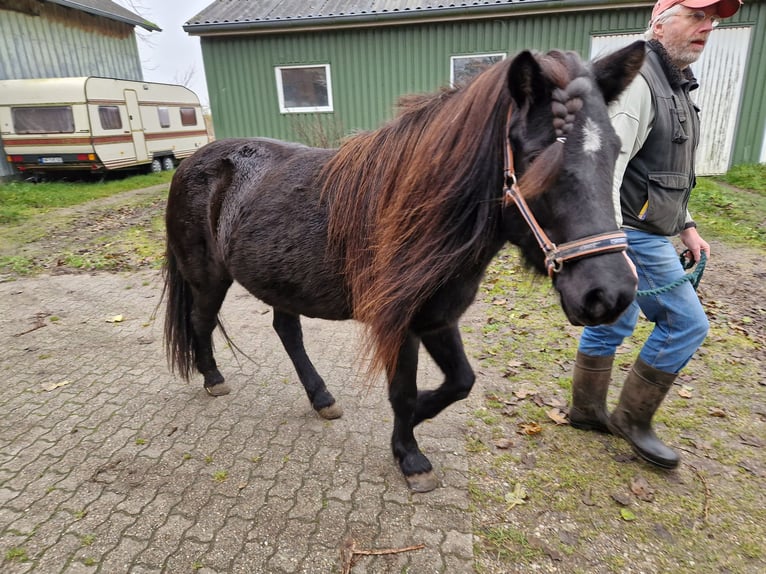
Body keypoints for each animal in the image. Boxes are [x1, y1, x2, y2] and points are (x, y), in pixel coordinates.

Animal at [163, 41, 645, 492]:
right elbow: (404, 390)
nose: (610, 293)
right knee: (201, 321)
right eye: (539, 157)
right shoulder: (401, 322)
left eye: (616, 151)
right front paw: (410, 455)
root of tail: (190, 163)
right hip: (209, 279)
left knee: (287, 332)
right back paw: (213, 378)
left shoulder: (437, 318)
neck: (420, 210)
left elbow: (460, 382)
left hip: (281, 282)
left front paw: (413, 425)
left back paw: (321, 397)